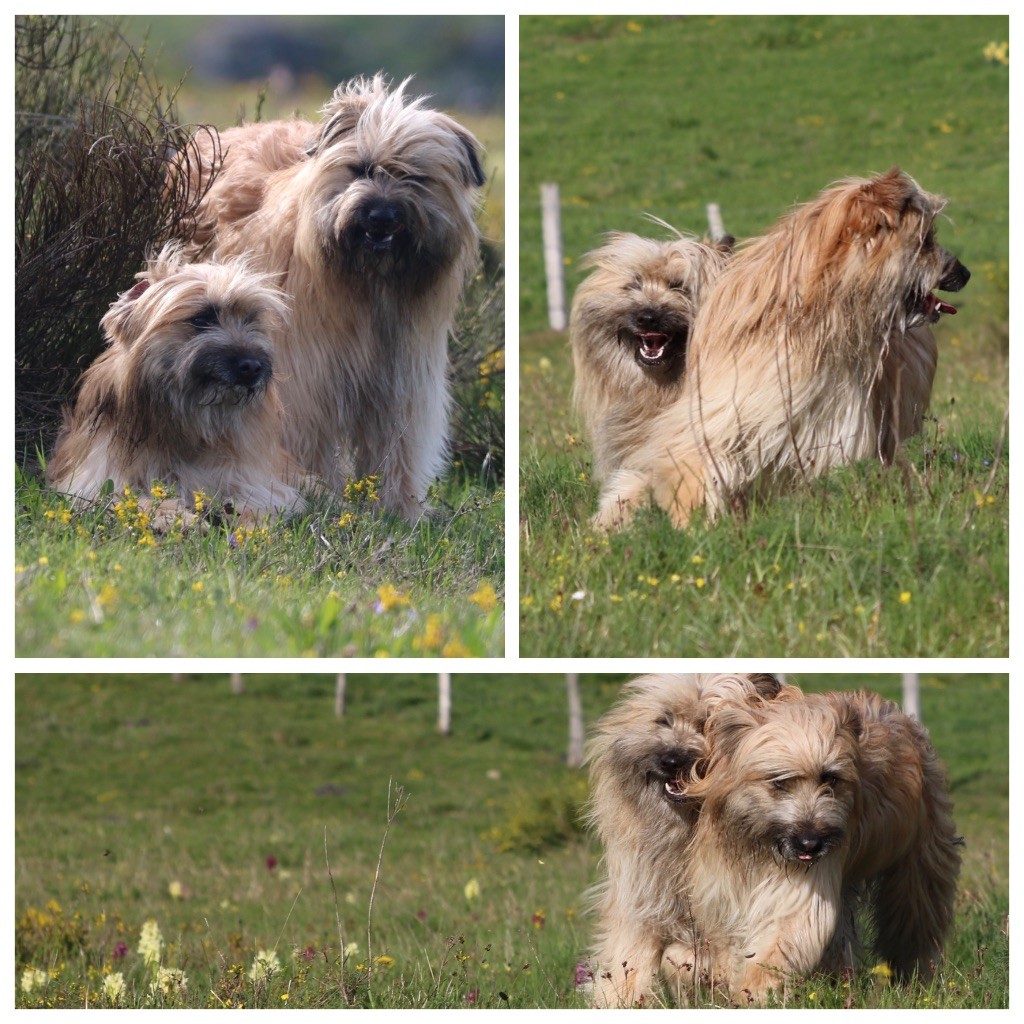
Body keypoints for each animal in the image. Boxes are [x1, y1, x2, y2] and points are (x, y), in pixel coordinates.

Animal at [48, 242, 303, 524]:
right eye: (201, 318)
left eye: (250, 319)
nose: (252, 367)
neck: (185, 424)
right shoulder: (98, 479)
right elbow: (128, 498)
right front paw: (173, 517)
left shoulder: (253, 480)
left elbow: (257, 499)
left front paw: (240, 518)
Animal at [179, 74, 483, 520]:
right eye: (360, 168)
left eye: (414, 177)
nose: (381, 216)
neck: (369, 287)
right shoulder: (307, 377)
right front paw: (323, 499)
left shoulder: (403, 379)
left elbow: (399, 444)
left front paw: (401, 510)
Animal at [585, 671, 798, 1007]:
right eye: (664, 719)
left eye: (707, 723)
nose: (672, 760)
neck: (688, 826)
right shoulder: (642, 898)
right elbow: (631, 956)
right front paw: (621, 999)